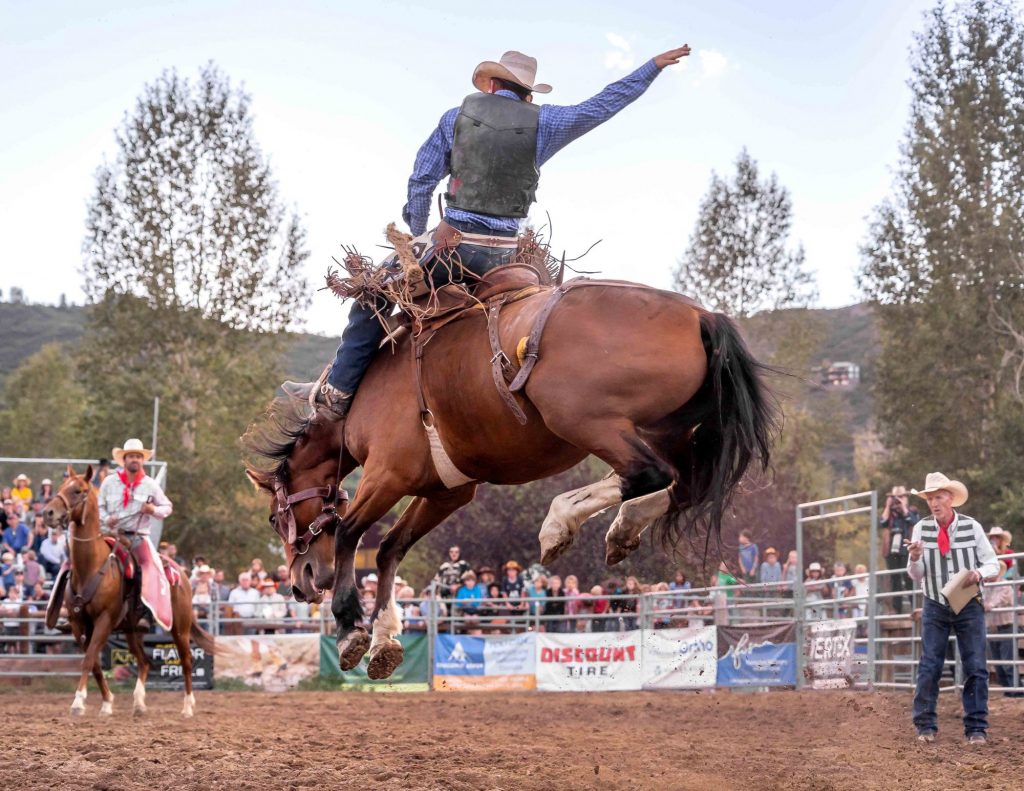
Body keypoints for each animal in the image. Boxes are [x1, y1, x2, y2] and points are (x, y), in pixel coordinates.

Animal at [43, 467, 215, 721]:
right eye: (62, 487)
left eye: (78, 491)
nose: (48, 513)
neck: (92, 567)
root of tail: (181, 575)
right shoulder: (78, 624)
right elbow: (94, 663)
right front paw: (106, 703)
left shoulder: (104, 620)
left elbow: (88, 659)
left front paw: (78, 702)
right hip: (132, 631)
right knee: (144, 662)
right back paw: (139, 703)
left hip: (179, 628)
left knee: (186, 660)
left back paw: (187, 707)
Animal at [245, 259, 774, 680]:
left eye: (273, 518)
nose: (299, 582)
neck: (358, 402)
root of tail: (702, 316)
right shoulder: (447, 492)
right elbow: (391, 548)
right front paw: (385, 640)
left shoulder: (387, 476)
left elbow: (351, 533)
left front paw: (349, 626)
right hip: (671, 429)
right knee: (685, 484)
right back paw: (622, 529)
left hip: (585, 419)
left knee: (650, 474)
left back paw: (561, 521)